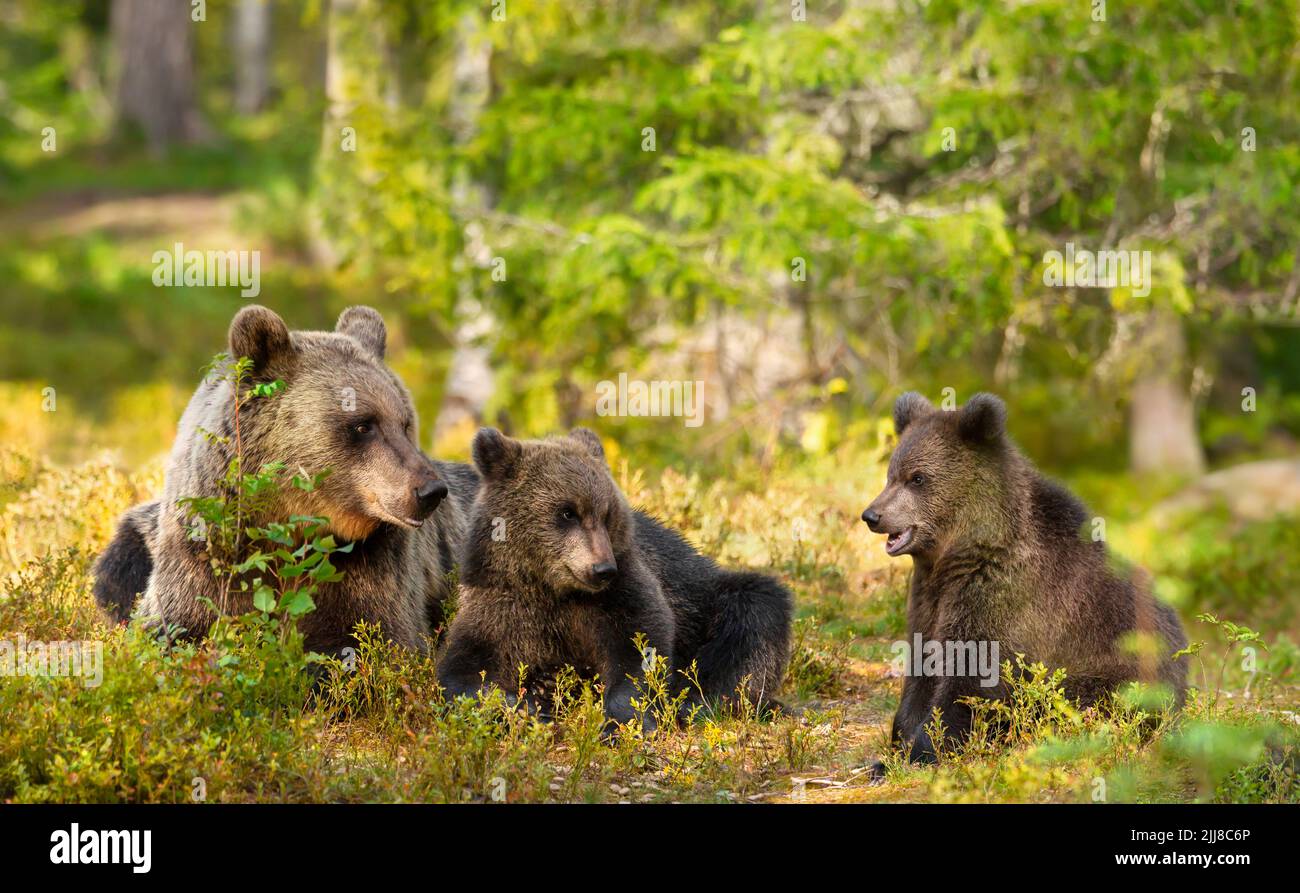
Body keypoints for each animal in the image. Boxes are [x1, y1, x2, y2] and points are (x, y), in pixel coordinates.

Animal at [92, 305, 479, 655]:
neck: (287, 524)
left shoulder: (369, 563)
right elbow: (175, 627)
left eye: (404, 423)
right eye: (362, 425)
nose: (430, 491)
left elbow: (372, 637)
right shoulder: (204, 554)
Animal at [436, 427, 794, 726]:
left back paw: (696, 702)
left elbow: (639, 646)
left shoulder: (622, 590)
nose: (603, 569)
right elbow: (464, 672)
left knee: (751, 615)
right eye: (567, 512)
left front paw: (621, 720)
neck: (553, 588)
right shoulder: (501, 600)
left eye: (606, 514)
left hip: (708, 596)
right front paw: (528, 706)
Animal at [861, 391, 1187, 769]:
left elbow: (972, 680)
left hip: (1116, 672)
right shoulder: (930, 596)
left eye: (917, 478)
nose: (872, 515)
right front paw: (893, 748)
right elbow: (922, 669)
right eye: (891, 475)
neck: (960, 554)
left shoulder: (1004, 597)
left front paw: (922, 752)